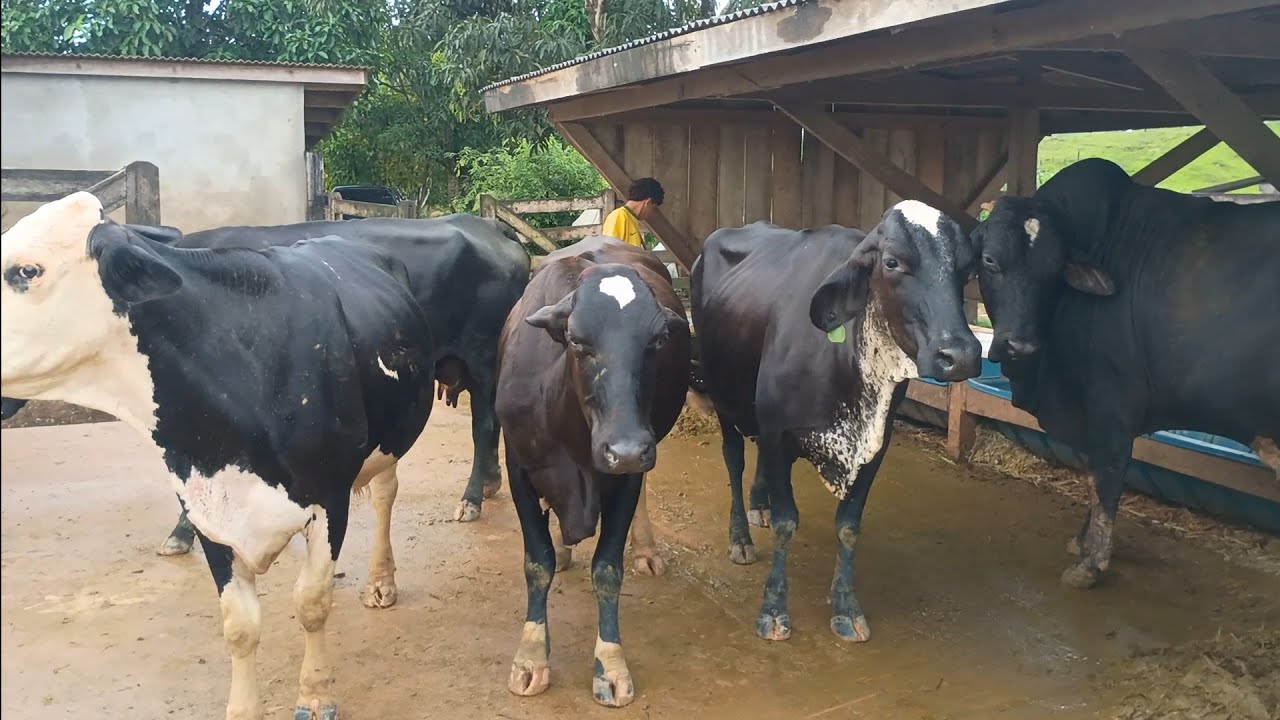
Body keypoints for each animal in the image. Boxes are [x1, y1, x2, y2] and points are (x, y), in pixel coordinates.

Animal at [1, 192, 437, 720]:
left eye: (27, 270)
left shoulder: (328, 499)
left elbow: (312, 603)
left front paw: (315, 695)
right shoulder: (209, 509)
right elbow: (240, 625)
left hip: (392, 440)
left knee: (385, 493)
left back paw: (381, 581)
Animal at [3, 214, 530, 608]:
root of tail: (488, 225)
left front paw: (179, 535)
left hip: (483, 357)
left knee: (484, 425)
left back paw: (471, 497)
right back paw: (487, 486)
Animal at [495, 236, 690, 707]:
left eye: (659, 339)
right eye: (576, 339)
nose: (626, 449)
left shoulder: (628, 471)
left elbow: (606, 569)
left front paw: (610, 665)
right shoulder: (518, 466)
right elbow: (537, 563)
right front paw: (530, 657)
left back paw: (646, 549)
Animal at [691, 201, 982, 643]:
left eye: (965, 268)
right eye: (892, 262)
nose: (961, 355)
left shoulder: (877, 443)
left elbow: (848, 525)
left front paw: (846, 606)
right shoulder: (777, 430)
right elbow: (786, 523)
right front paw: (773, 609)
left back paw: (759, 503)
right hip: (723, 394)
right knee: (734, 457)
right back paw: (740, 536)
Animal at [972, 157, 1280, 589]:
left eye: (1055, 269)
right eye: (990, 260)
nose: (1021, 345)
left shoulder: (1113, 402)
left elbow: (1108, 477)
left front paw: (1091, 563)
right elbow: (1092, 475)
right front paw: (1082, 542)